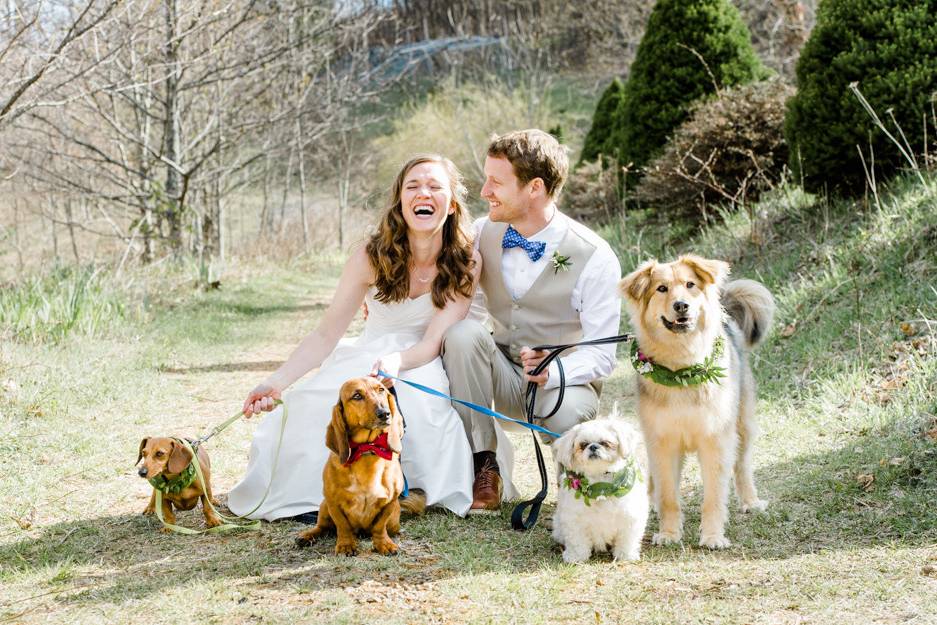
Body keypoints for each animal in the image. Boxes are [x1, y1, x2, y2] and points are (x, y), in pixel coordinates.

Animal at [552, 420, 648, 560]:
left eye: (605, 443)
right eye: (583, 444)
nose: (593, 447)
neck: (601, 488)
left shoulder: (630, 517)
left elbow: (627, 539)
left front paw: (625, 555)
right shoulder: (575, 519)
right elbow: (577, 541)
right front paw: (576, 556)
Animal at [620, 254, 776, 544]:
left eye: (690, 284)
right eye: (661, 289)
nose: (681, 305)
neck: (682, 372)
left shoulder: (715, 440)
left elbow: (714, 496)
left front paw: (713, 536)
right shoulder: (662, 442)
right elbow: (668, 495)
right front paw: (669, 533)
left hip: (743, 425)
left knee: (742, 466)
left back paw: (750, 501)